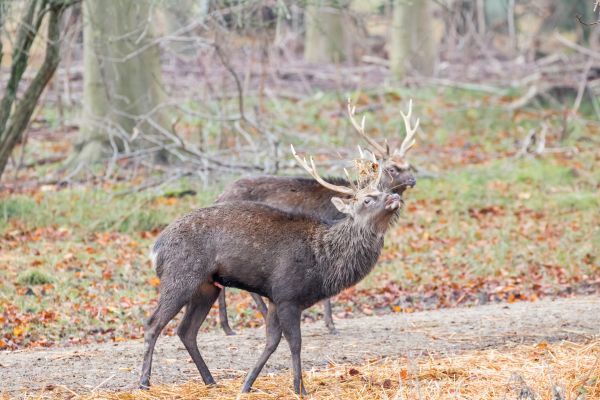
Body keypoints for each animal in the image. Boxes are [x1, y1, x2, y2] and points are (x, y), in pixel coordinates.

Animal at [138, 146, 406, 394]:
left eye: (382, 191)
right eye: (367, 199)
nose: (393, 197)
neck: (323, 262)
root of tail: (156, 248)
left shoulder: (276, 299)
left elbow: (271, 342)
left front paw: (246, 385)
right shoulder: (288, 295)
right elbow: (295, 343)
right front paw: (300, 388)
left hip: (207, 287)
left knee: (186, 331)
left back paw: (210, 381)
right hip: (180, 277)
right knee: (153, 323)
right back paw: (144, 383)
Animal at [213, 99, 420, 334]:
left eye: (409, 165)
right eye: (393, 169)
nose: (412, 180)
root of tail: (219, 196)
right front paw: (330, 324)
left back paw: (235, 324)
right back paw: (239, 323)